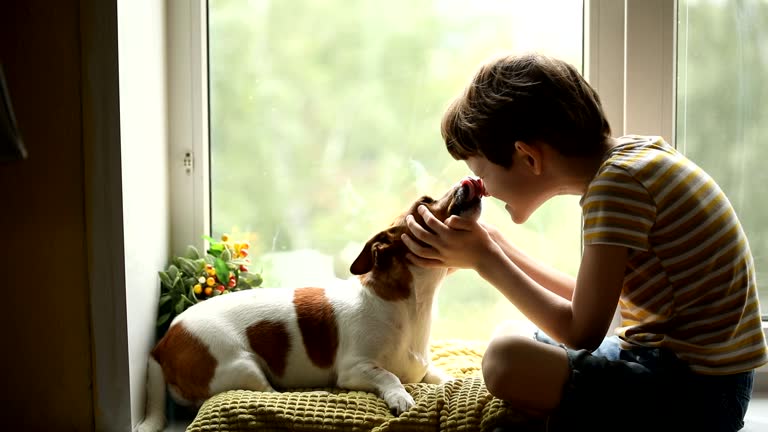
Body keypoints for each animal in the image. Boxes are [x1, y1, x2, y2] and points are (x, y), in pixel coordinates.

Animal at [138, 176, 486, 432]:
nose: (471, 179)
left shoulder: (423, 369)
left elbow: (441, 377)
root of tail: (164, 343)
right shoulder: (355, 368)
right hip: (241, 366)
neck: (408, 306)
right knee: (267, 393)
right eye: (424, 203)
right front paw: (399, 396)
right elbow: (389, 376)